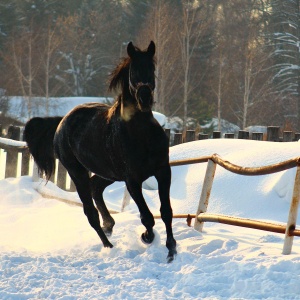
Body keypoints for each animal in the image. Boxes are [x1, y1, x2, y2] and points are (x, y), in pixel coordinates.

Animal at [25, 41, 178, 262]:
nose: (145, 98)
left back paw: (109, 225)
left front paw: (171, 248)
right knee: (90, 211)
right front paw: (147, 237)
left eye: (152, 68)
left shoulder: (163, 171)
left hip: (108, 173)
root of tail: (62, 121)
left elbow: (166, 211)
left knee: (95, 187)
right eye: (133, 70)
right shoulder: (132, 180)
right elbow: (147, 217)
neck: (141, 135)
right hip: (77, 172)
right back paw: (108, 245)